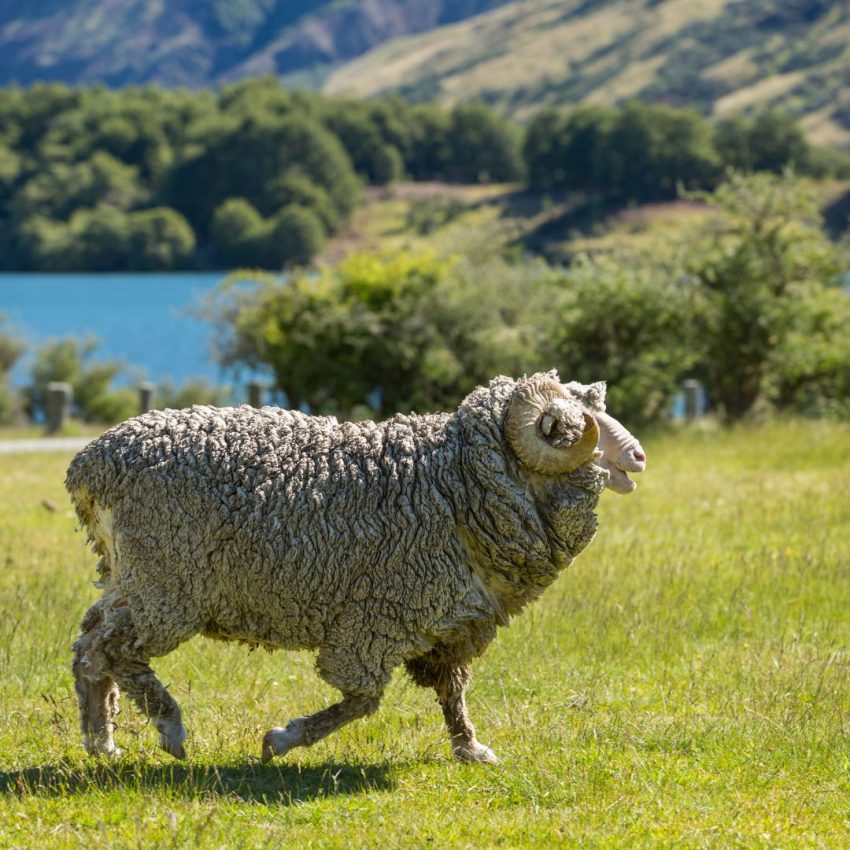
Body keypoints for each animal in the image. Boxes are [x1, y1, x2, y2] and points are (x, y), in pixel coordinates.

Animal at [67, 371, 642, 765]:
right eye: (569, 426)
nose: (637, 456)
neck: (453, 483)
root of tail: (91, 465)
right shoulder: (377, 617)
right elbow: (363, 698)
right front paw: (282, 740)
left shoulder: (455, 623)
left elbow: (452, 691)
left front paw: (470, 748)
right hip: (168, 585)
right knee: (117, 649)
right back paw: (169, 728)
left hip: (130, 577)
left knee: (91, 645)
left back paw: (102, 742)